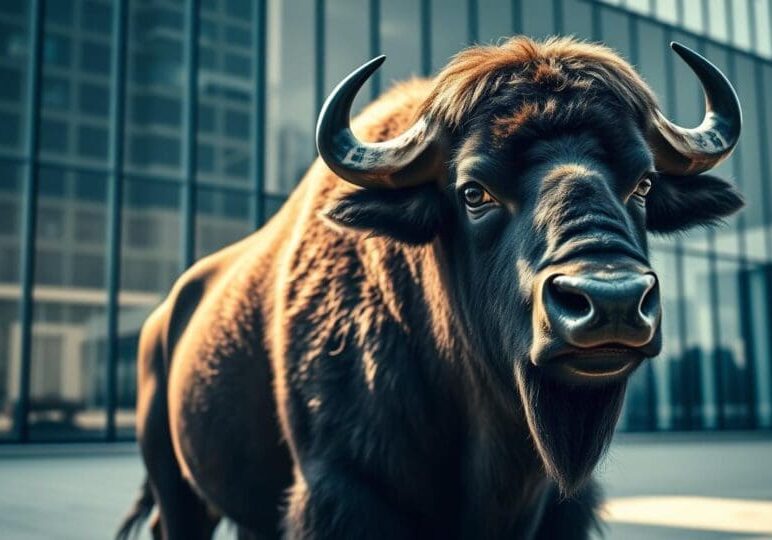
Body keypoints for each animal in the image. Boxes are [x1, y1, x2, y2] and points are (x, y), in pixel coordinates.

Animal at [117, 36, 743, 539]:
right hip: (177, 488)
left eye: (643, 183)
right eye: (473, 192)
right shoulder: (343, 491)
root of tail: (161, 321)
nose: (611, 301)